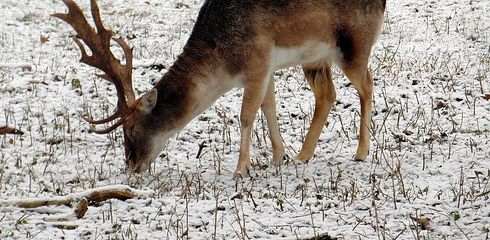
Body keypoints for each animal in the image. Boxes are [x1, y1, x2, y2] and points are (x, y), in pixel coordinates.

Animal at [52, 0, 382, 176]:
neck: (224, 62)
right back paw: (304, 154)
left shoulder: (258, 62)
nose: (132, 165)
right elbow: (268, 108)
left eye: (130, 128)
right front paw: (279, 157)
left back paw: (361, 152)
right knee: (328, 94)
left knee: (367, 85)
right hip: (315, 58)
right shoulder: (267, 68)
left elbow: (246, 116)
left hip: (355, 46)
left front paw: (241, 169)